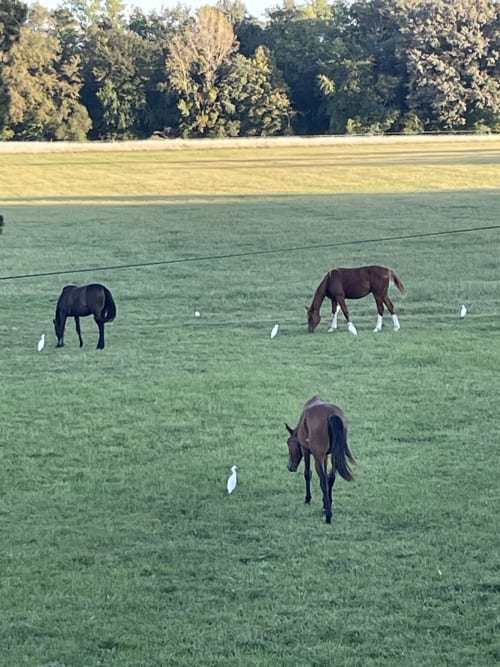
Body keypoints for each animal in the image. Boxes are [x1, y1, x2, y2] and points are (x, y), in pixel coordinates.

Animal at [285, 396, 355, 524]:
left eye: (288, 443)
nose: (290, 467)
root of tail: (331, 414)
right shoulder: (326, 456)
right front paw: (325, 503)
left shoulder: (306, 450)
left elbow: (307, 474)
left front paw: (308, 499)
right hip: (334, 455)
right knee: (331, 477)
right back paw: (327, 506)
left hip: (318, 456)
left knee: (323, 480)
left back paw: (328, 515)